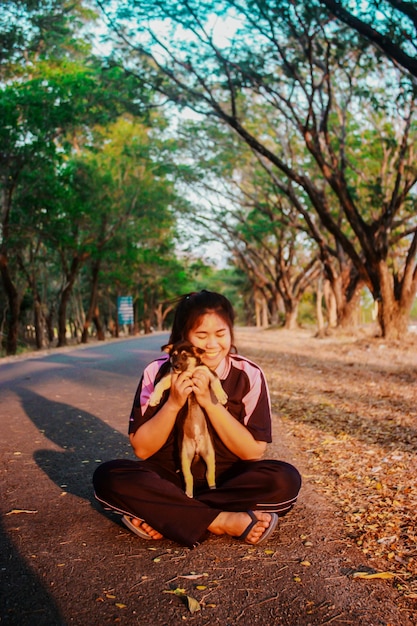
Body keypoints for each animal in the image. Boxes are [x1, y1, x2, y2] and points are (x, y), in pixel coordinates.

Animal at [150, 338, 228, 494]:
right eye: (173, 355)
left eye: (185, 356)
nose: (175, 366)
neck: (190, 371)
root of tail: (197, 449)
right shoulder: (170, 377)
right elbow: (159, 384)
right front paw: (154, 398)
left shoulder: (207, 372)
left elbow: (216, 381)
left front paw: (221, 396)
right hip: (184, 456)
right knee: (189, 477)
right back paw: (189, 494)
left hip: (210, 454)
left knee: (209, 474)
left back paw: (212, 489)